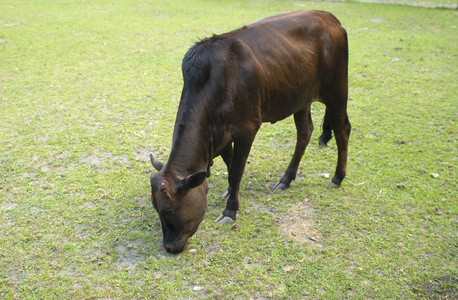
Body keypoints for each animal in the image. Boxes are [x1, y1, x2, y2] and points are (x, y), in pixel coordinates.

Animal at [149, 9, 350, 253]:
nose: (168, 247)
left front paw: (230, 210)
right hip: (300, 98)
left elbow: (236, 170)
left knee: (342, 130)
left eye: (170, 211)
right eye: (156, 208)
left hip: (337, 91)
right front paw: (230, 192)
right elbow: (229, 163)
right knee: (305, 132)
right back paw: (286, 179)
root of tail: (329, 16)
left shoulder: (247, 128)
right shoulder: (221, 136)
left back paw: (337, 177)